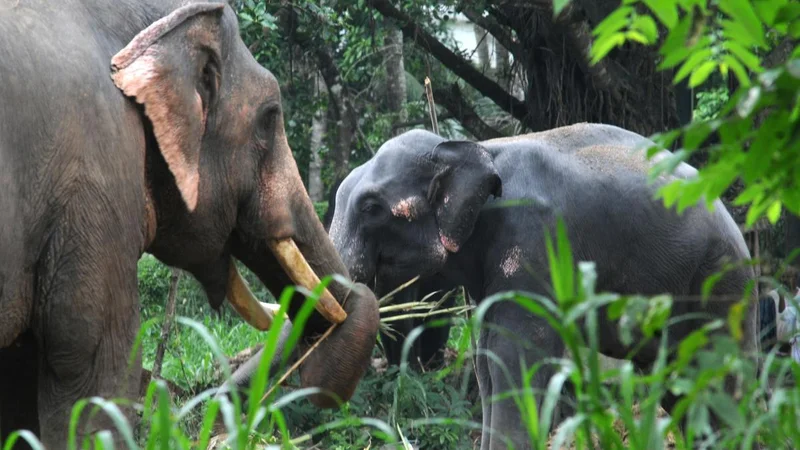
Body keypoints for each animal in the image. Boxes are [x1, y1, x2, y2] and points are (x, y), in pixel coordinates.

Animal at [324, 124, 758, 449]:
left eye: (371, 208)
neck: (479, 149)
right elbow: (486, 359)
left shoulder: (535, 238)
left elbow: (515, 351)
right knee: (679, 380)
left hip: (718, 281)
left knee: (718, 372)